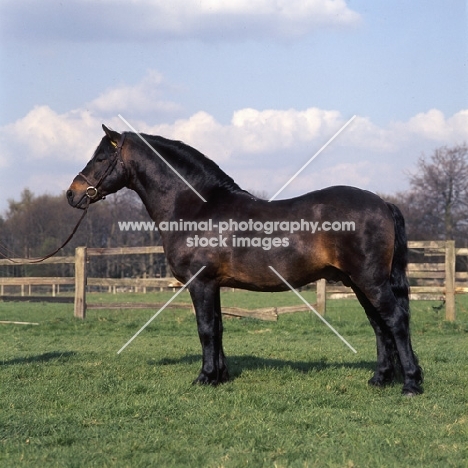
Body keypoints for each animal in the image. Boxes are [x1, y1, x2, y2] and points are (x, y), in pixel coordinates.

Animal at [66, 125, 424, 394]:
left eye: (101, 157)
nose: (72, 194)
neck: (197, 207)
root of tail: (383, 203)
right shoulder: (214, 284)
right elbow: (219, 327)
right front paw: (220, 376)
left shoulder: (201, 283)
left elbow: (206, 328)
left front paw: (204, 377)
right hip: (358, 283)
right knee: (379, 325)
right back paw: (380, 379)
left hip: (370, 281)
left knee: (395, 320)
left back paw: (410, 384)